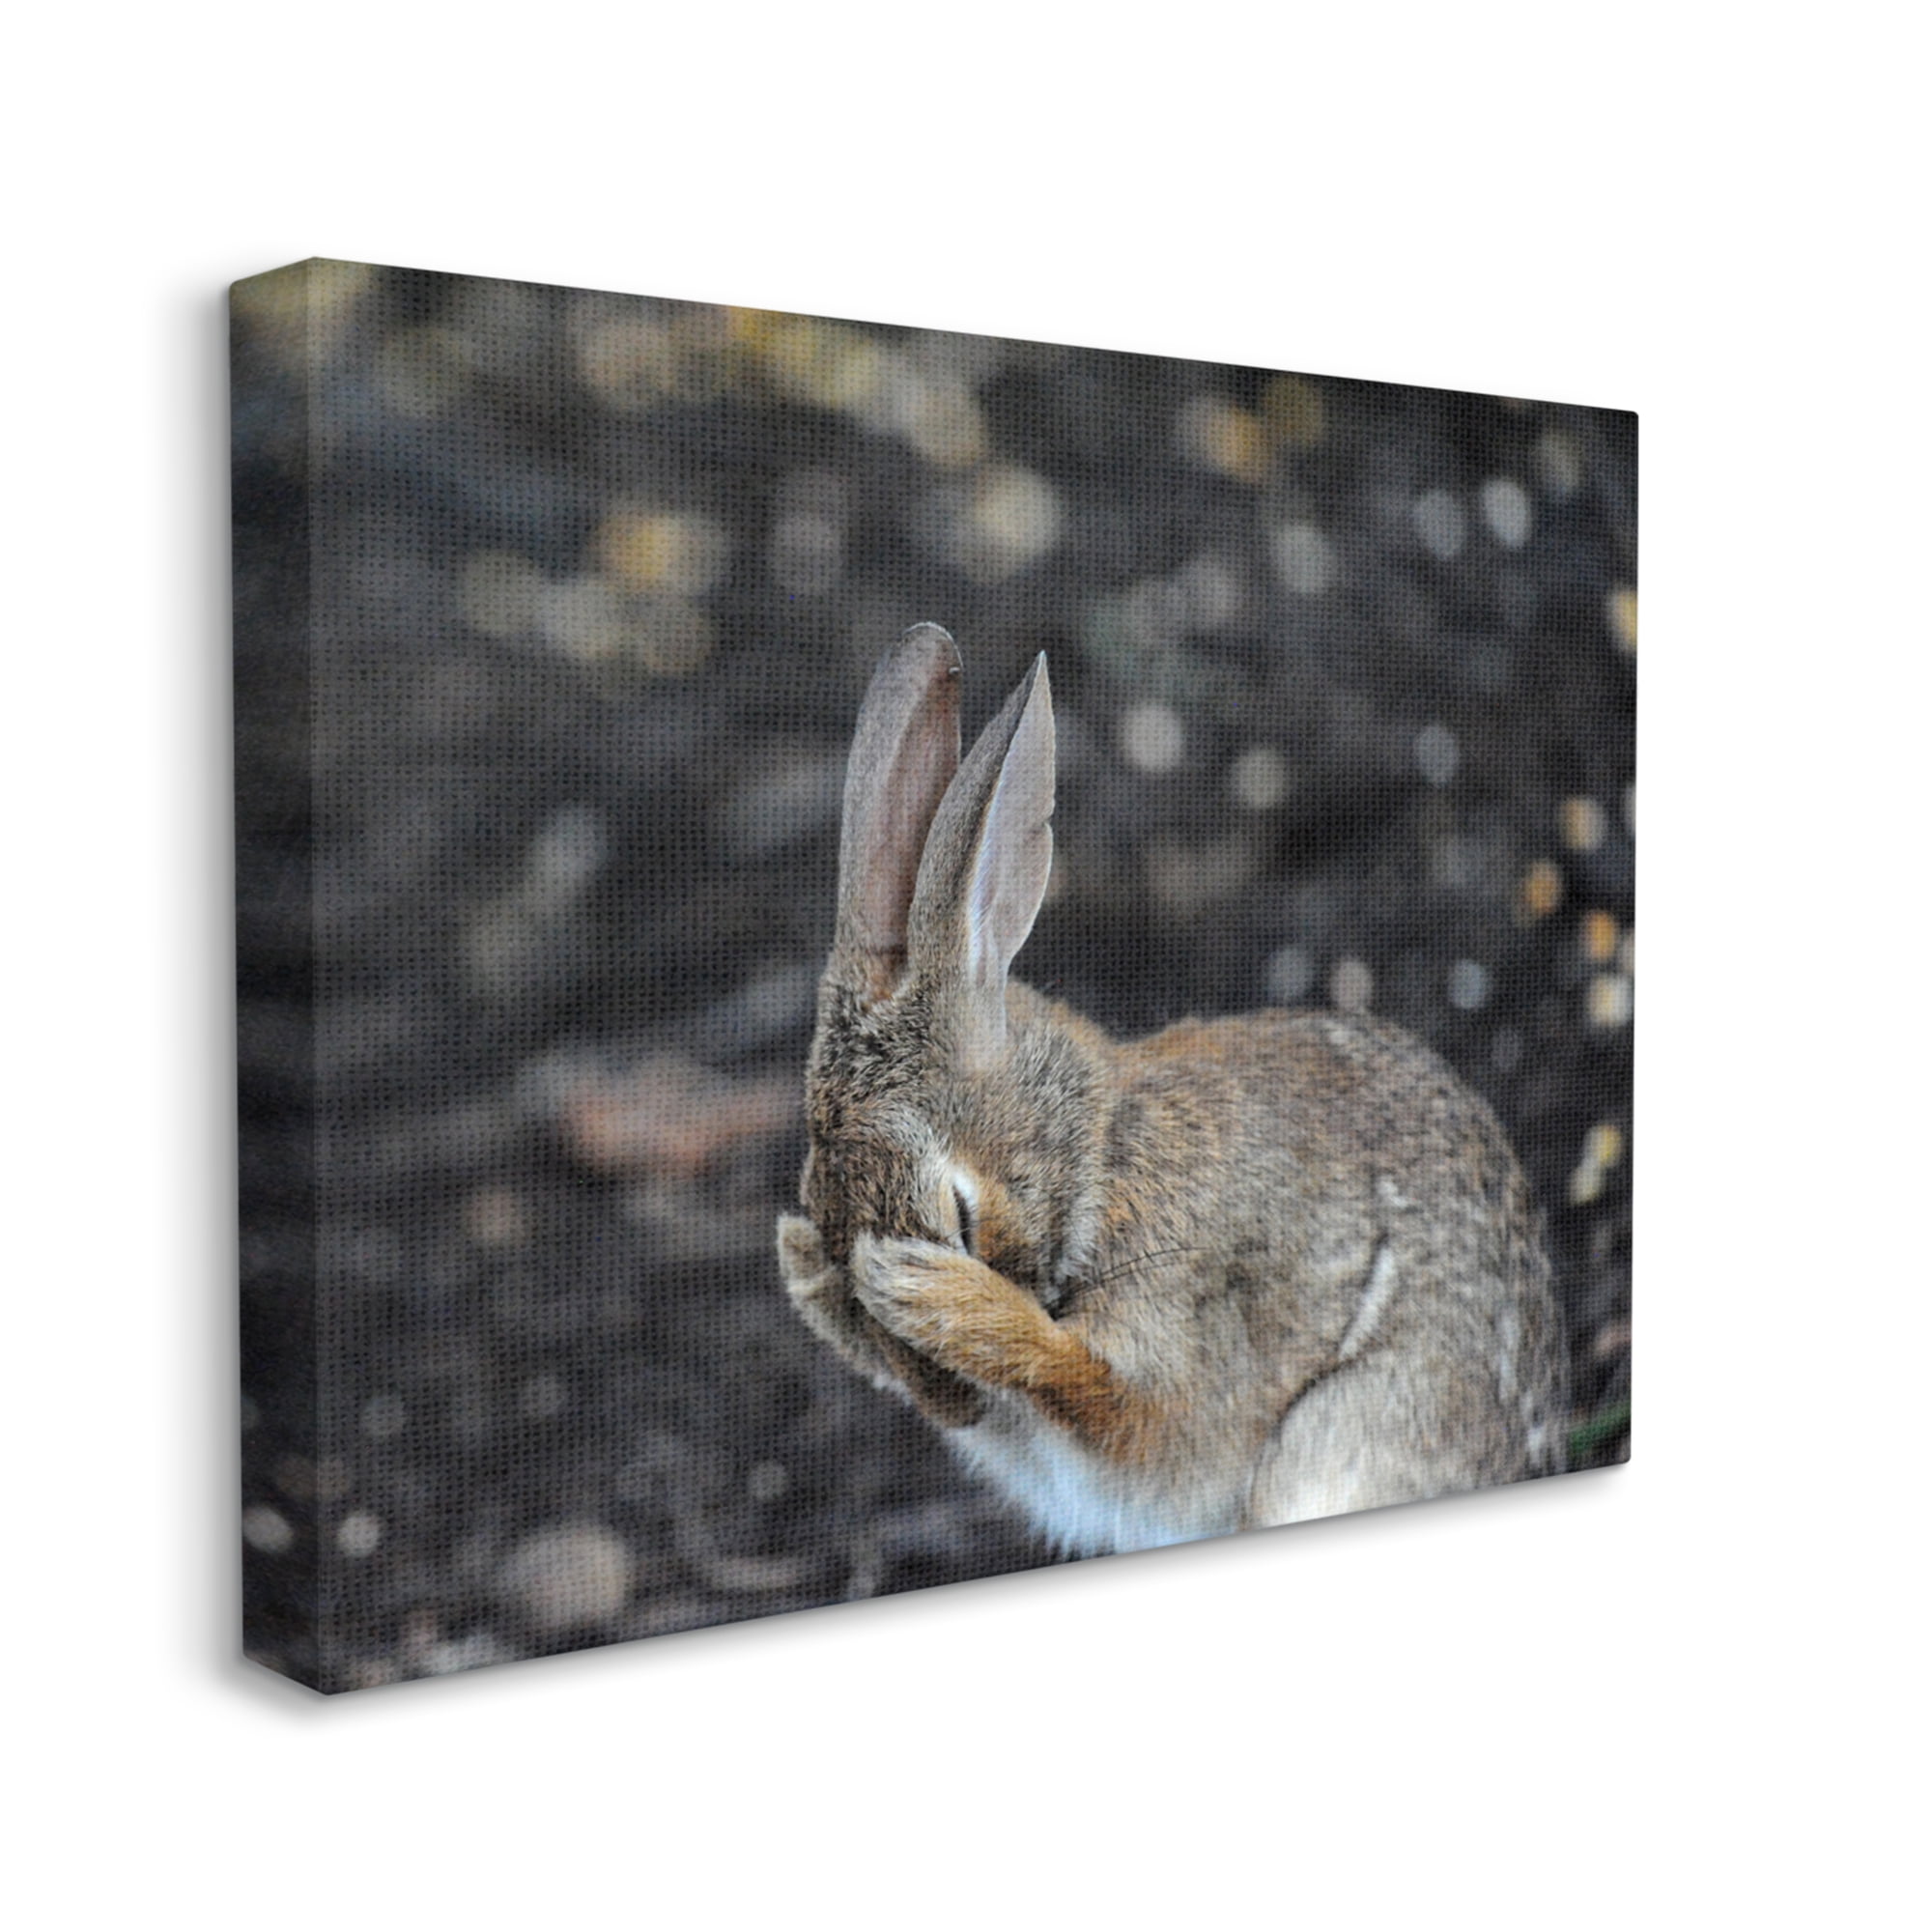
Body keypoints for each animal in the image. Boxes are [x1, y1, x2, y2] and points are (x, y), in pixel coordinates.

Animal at [777, 622, 1566, 1556]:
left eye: (959, 1216)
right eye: (825, 1218)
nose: (952, 1406)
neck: (1097, 1156)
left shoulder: (1181, 1346)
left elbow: (1107, 1397)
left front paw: (932, 1296)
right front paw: (804, 1273)